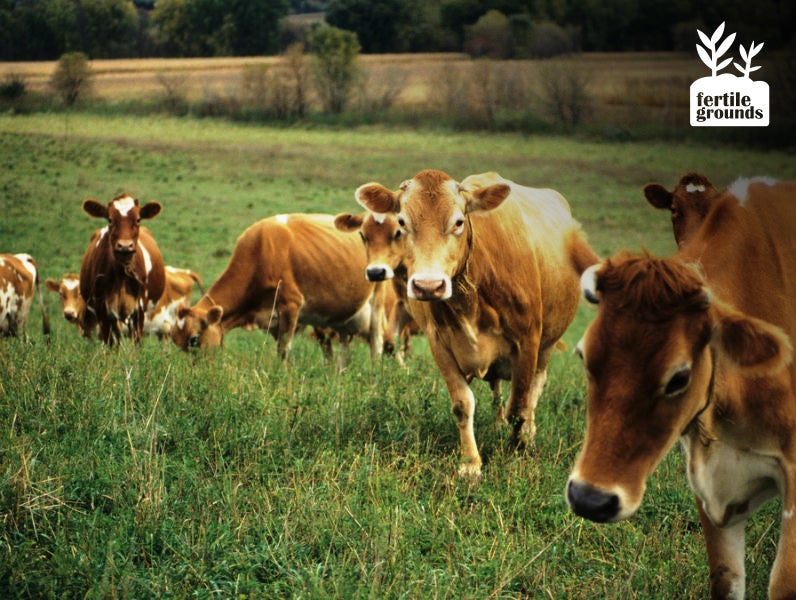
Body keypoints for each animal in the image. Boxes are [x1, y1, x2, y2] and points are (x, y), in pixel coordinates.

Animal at [79, 192, 165, 344]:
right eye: (110, 219)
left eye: (138, 219)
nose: (125, 246)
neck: (121, 276)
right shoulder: (102, 310)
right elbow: (110, 343)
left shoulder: (139, 310)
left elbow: (136, 342)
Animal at [173, 212, 384, 358]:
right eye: (178, 343)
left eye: (194, 339)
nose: (198, 372)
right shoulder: (272, 322)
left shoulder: (291, 305)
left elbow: (283, 352)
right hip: (340, 317)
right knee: (340, 352)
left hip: (376, 305)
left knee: (376, 346)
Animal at [354, 171, 596, 476]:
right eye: (402, 223)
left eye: (458, 222)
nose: (428, 285)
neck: (471, 296)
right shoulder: (440, 343)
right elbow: (462, 404)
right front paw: (470, 463)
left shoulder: (527, 341)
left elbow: (519, 404)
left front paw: (517, 448)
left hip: (547, 344)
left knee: (535, 387)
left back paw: (528, 431)